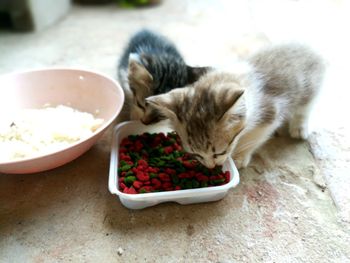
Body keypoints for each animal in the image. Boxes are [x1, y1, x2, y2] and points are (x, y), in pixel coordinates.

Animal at [141, 43, 326, 169]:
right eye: (196, 154)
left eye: (219, 153)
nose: (211, 167)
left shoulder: (270, 112)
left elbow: (253, 137)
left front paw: (238, 157)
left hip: (309, 86)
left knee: (305, 107)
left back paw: (299, 128)